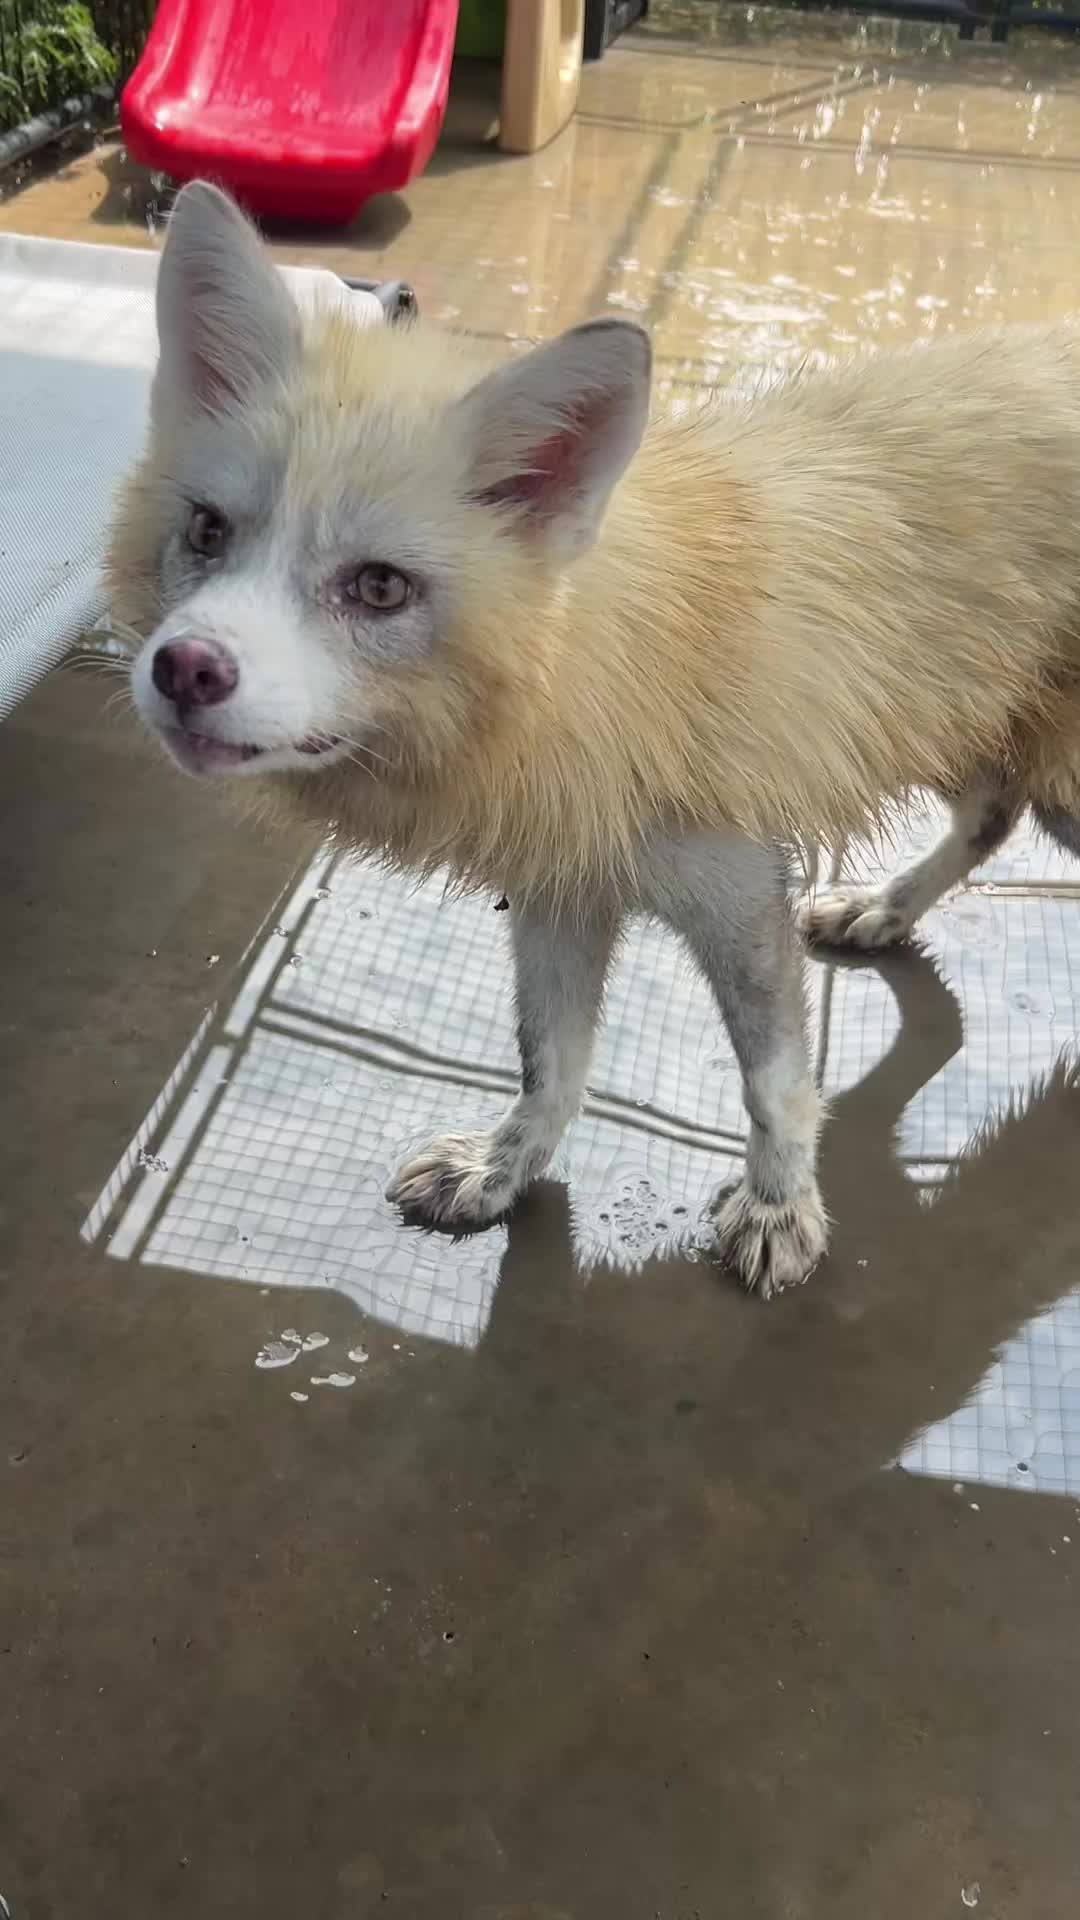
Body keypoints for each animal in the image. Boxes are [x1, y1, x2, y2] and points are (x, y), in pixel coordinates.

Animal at [108, 179, 1080, 1299]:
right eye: (209, 531)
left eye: (379, 587)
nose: (185, 670)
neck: (575, 679)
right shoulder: (562, 887)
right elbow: (550, 1067)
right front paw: (501, 1175)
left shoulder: (737, 889)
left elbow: (774, 1085)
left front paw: (781, 1208)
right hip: (953, 728)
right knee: (990, 818)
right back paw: (883, 909)